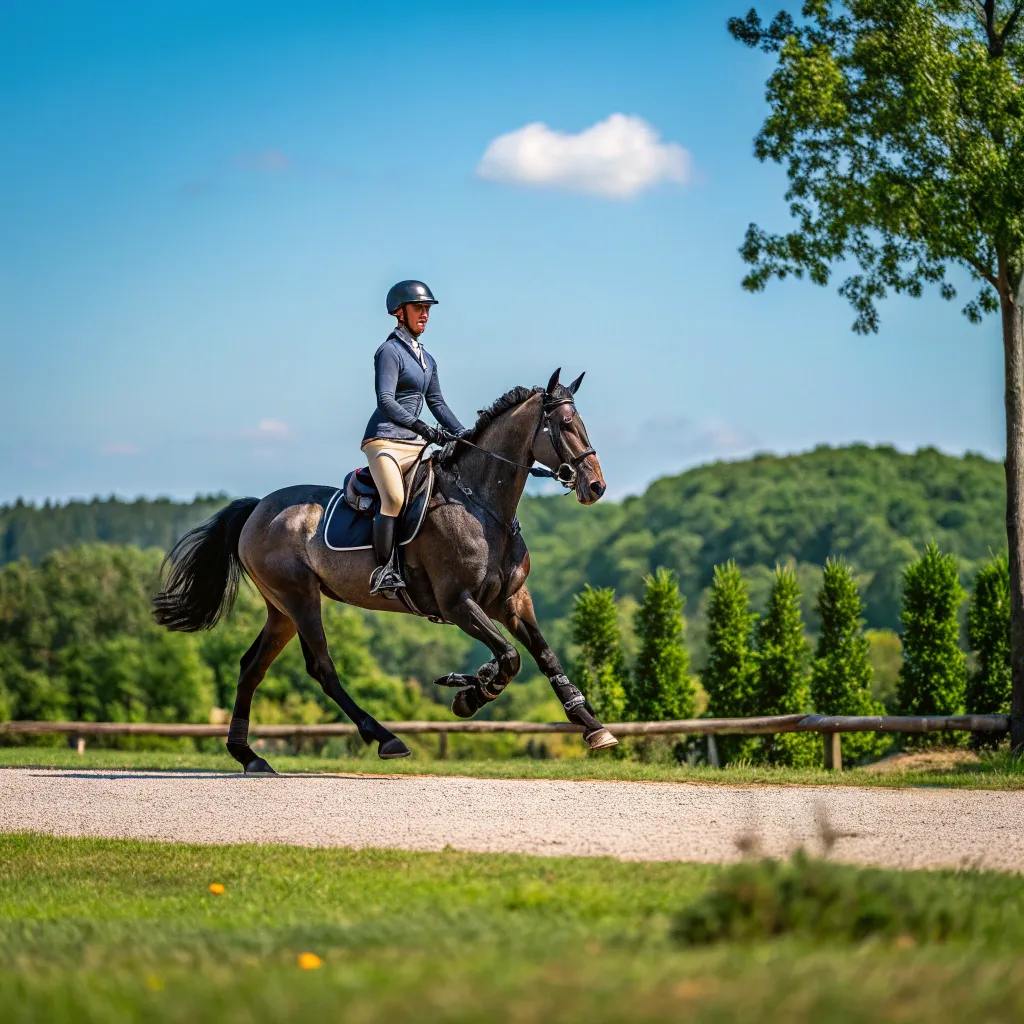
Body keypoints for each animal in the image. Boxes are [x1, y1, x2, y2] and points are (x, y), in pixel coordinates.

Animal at [152, 368, 614, 770]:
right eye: (566, 425)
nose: (596, 486)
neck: (480, 505)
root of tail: (256, 509)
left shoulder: (512, 600)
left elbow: (543, 656)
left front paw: (593, 727)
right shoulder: (457, 603)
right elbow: (511, 657)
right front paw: (469, 695)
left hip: (280, 609)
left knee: (252, 668)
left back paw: (249, 756)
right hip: (300, 599)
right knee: (322, 669)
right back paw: (386, 738)